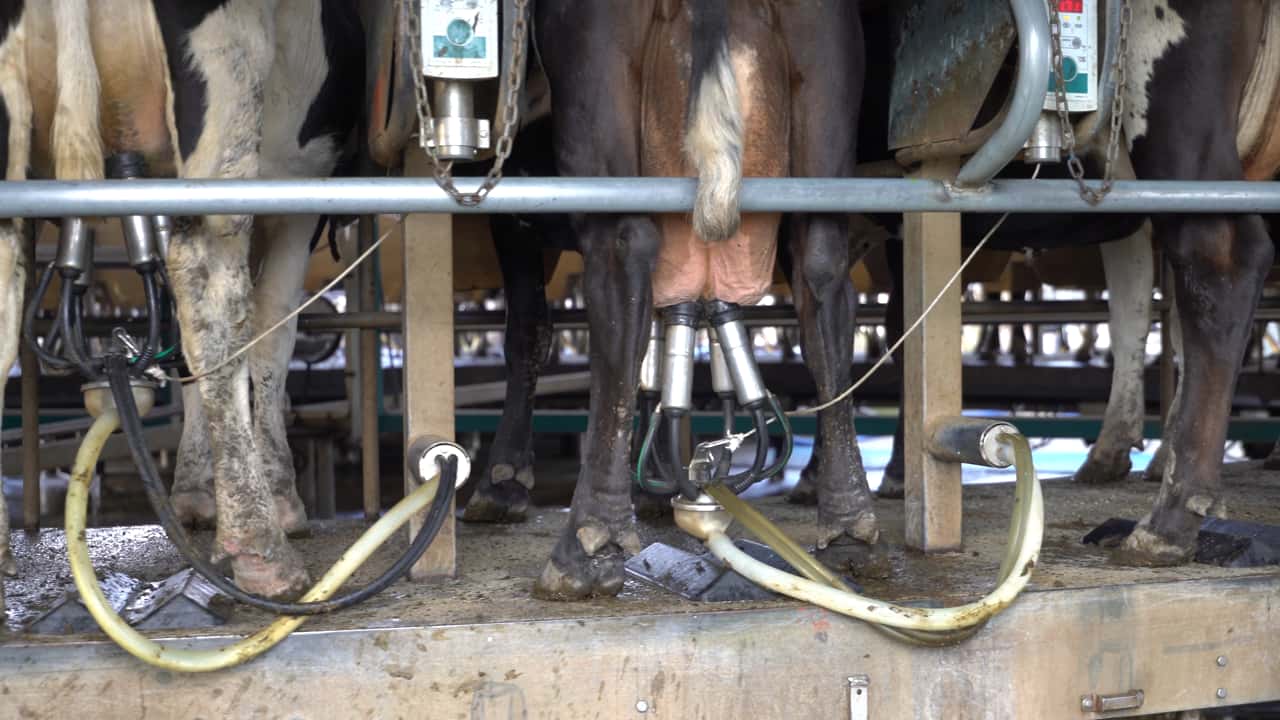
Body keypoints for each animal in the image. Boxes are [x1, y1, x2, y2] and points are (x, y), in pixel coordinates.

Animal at [0, 0, 366, 604]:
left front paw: (196, 491)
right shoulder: (302, 185)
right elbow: (272, 331)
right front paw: (279, 492)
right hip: (228, 78)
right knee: (213, 289)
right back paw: (262, 551)